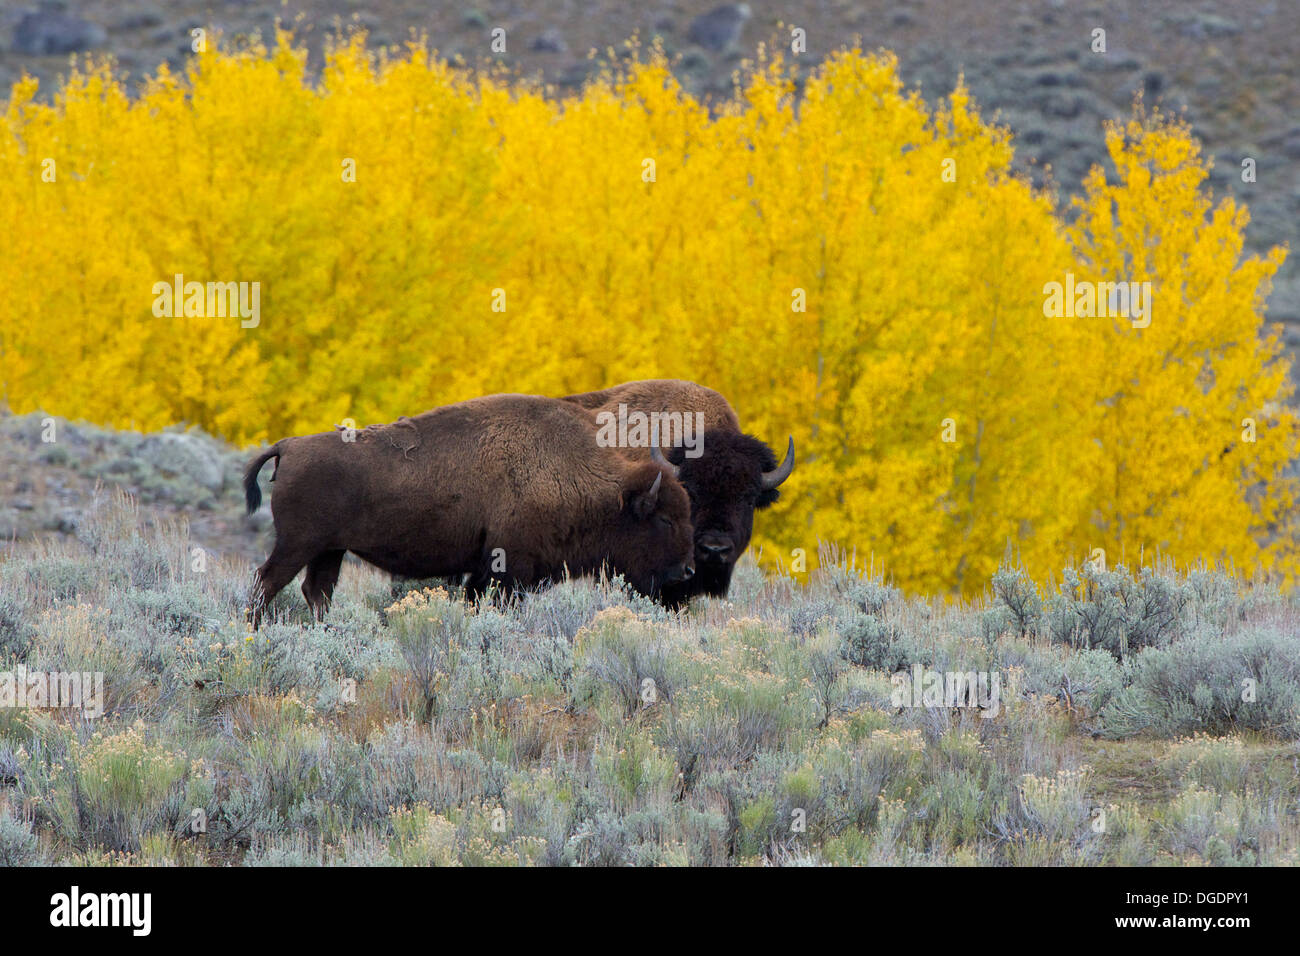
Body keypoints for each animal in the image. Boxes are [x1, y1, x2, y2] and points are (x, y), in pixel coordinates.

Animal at [241, 392, 691, 624]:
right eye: (663, 519)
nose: (686, 571)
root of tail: (289, 446)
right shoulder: (509, 571)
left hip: (329, 550)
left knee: (316, 590)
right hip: (298, 544)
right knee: (266, 582)